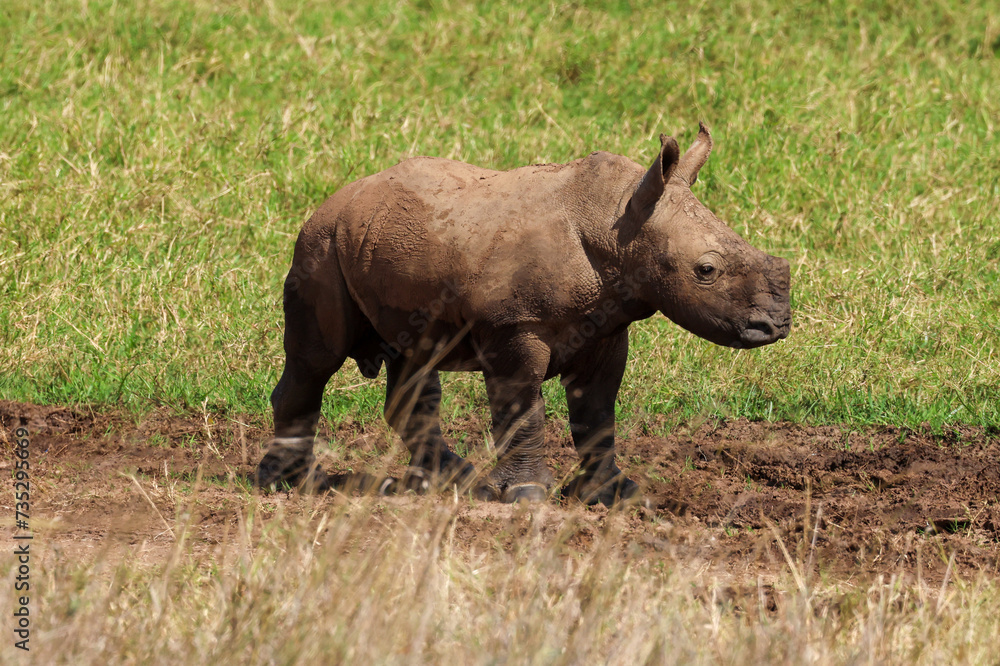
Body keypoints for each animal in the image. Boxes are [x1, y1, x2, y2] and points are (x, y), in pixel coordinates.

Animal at [256, 123, 791, 504]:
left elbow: (598, 413)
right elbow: (522, 408)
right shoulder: (513, 324)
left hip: (384, 244)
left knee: (412, 360)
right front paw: (527, 495)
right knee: (316, 359)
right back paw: (289, 484)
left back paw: (447, 482)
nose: (776, 325)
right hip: (320, 246)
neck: (618, 222)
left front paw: (616, 495)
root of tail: (332, 200)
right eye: (706, 270)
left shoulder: (607, 326)